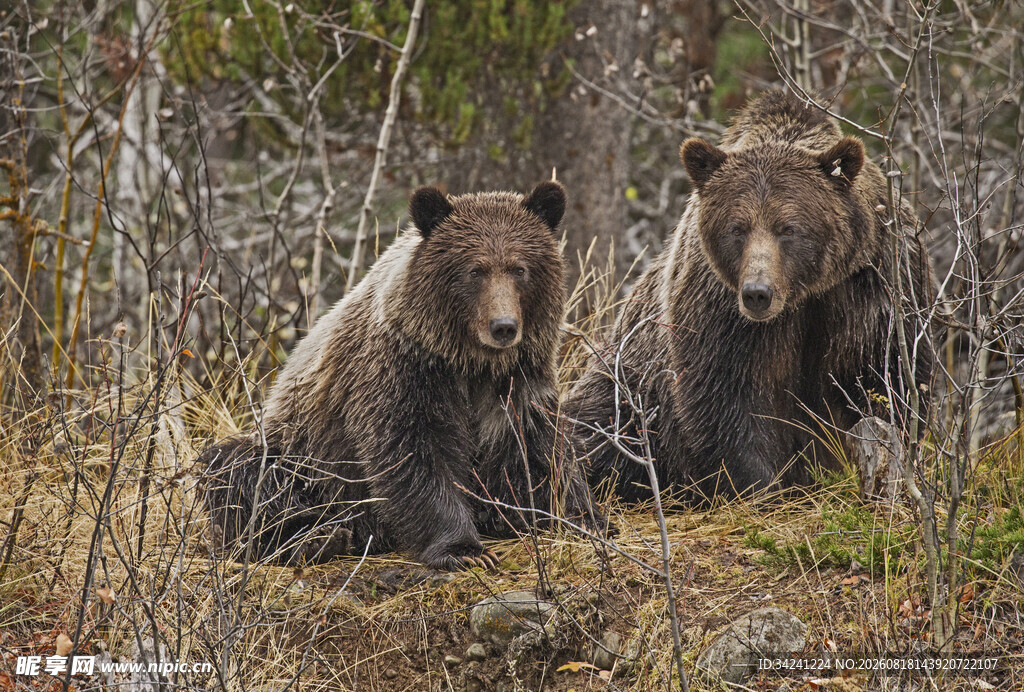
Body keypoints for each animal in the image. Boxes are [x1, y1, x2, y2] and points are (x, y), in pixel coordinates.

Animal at [200, 181, 601, 569]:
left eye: (520, 269)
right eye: (475, 270)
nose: (503, 326)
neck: (470, 361)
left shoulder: (518, 379)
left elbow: (538, 447)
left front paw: (577, 514)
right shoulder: (404, 370)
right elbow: (414, 452)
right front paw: (464, 549)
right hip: (303, 459)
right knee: (239, 471)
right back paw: (313, 539)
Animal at [567, 91, 935, 502]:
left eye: (789, 228)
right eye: (737, 228)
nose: (758, 293)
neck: (803, 294)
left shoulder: (872, 284)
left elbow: (885, 377)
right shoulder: (718, 306)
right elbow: (728, 396)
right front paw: (762, 487)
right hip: (629, 382)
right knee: (596, 427)